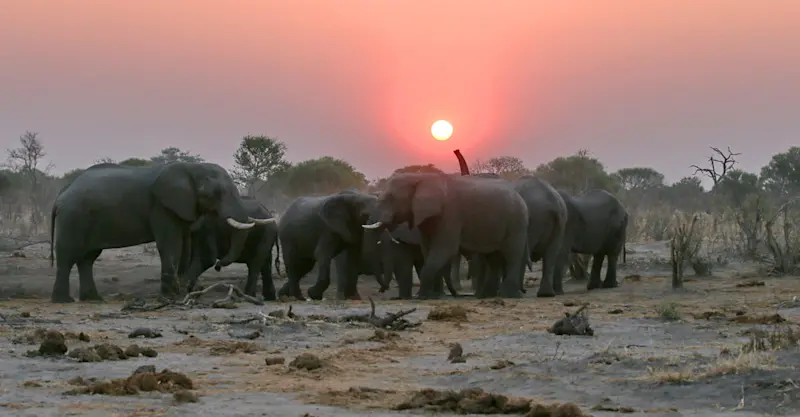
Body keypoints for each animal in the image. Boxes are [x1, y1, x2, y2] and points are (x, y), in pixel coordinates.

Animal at [49, 162, 274, 303]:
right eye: (216, 193)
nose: (219, 265)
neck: (190, 167)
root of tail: (61, 194)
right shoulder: (162, 206)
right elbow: (171, 243)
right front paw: (171, 296)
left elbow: (184, 244)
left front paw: (179, 292)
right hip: (73, 216)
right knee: (67, 256)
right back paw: (64, 301)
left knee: (87, 258)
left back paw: (94, 299)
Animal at [363, 172, 529, 299]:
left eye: (391, 198)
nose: (382, 290)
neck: (420, 178)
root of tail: (520, 196)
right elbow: (428, 250)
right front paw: (432, 296)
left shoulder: (450, 215)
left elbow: (444, 250)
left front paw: (422, 296)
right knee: (493, 258)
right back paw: (487, 296)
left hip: (516, 222)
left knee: (512, 255)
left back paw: (510, 295)